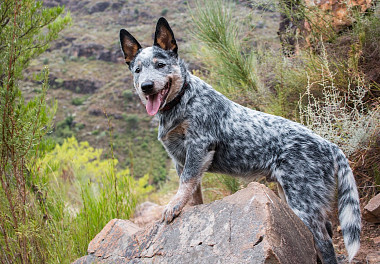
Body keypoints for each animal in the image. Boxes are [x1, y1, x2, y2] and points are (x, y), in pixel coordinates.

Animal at [120, 17, 360, 262]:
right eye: (137, 70)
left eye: (160, 65)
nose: (146, 86)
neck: (182, 101)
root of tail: (330, 146)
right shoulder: (180, 159)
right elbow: (192, 193)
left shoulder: (199, 146)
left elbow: (186, 182)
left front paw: (172, 206)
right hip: (289, 197)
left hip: (305, 203)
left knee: (325, 243)